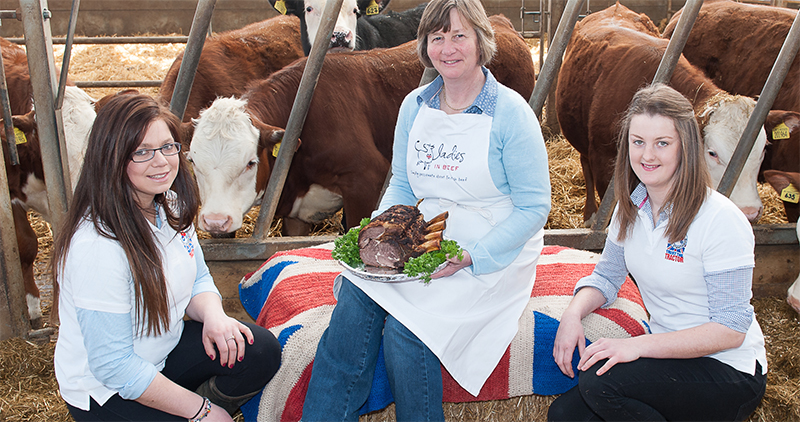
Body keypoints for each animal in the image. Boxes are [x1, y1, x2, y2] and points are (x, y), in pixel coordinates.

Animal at [188, 14, 536, 236]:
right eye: (193, 162)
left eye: (250, 162)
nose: (215, 221)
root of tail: (500, 23)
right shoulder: (295, 212)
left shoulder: (366, 182)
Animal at [556, 4, 768, 224]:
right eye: (712, 153)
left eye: (762, 150)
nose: (749, 212)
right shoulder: (603, 164)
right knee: (585, 165)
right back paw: (590, 215)